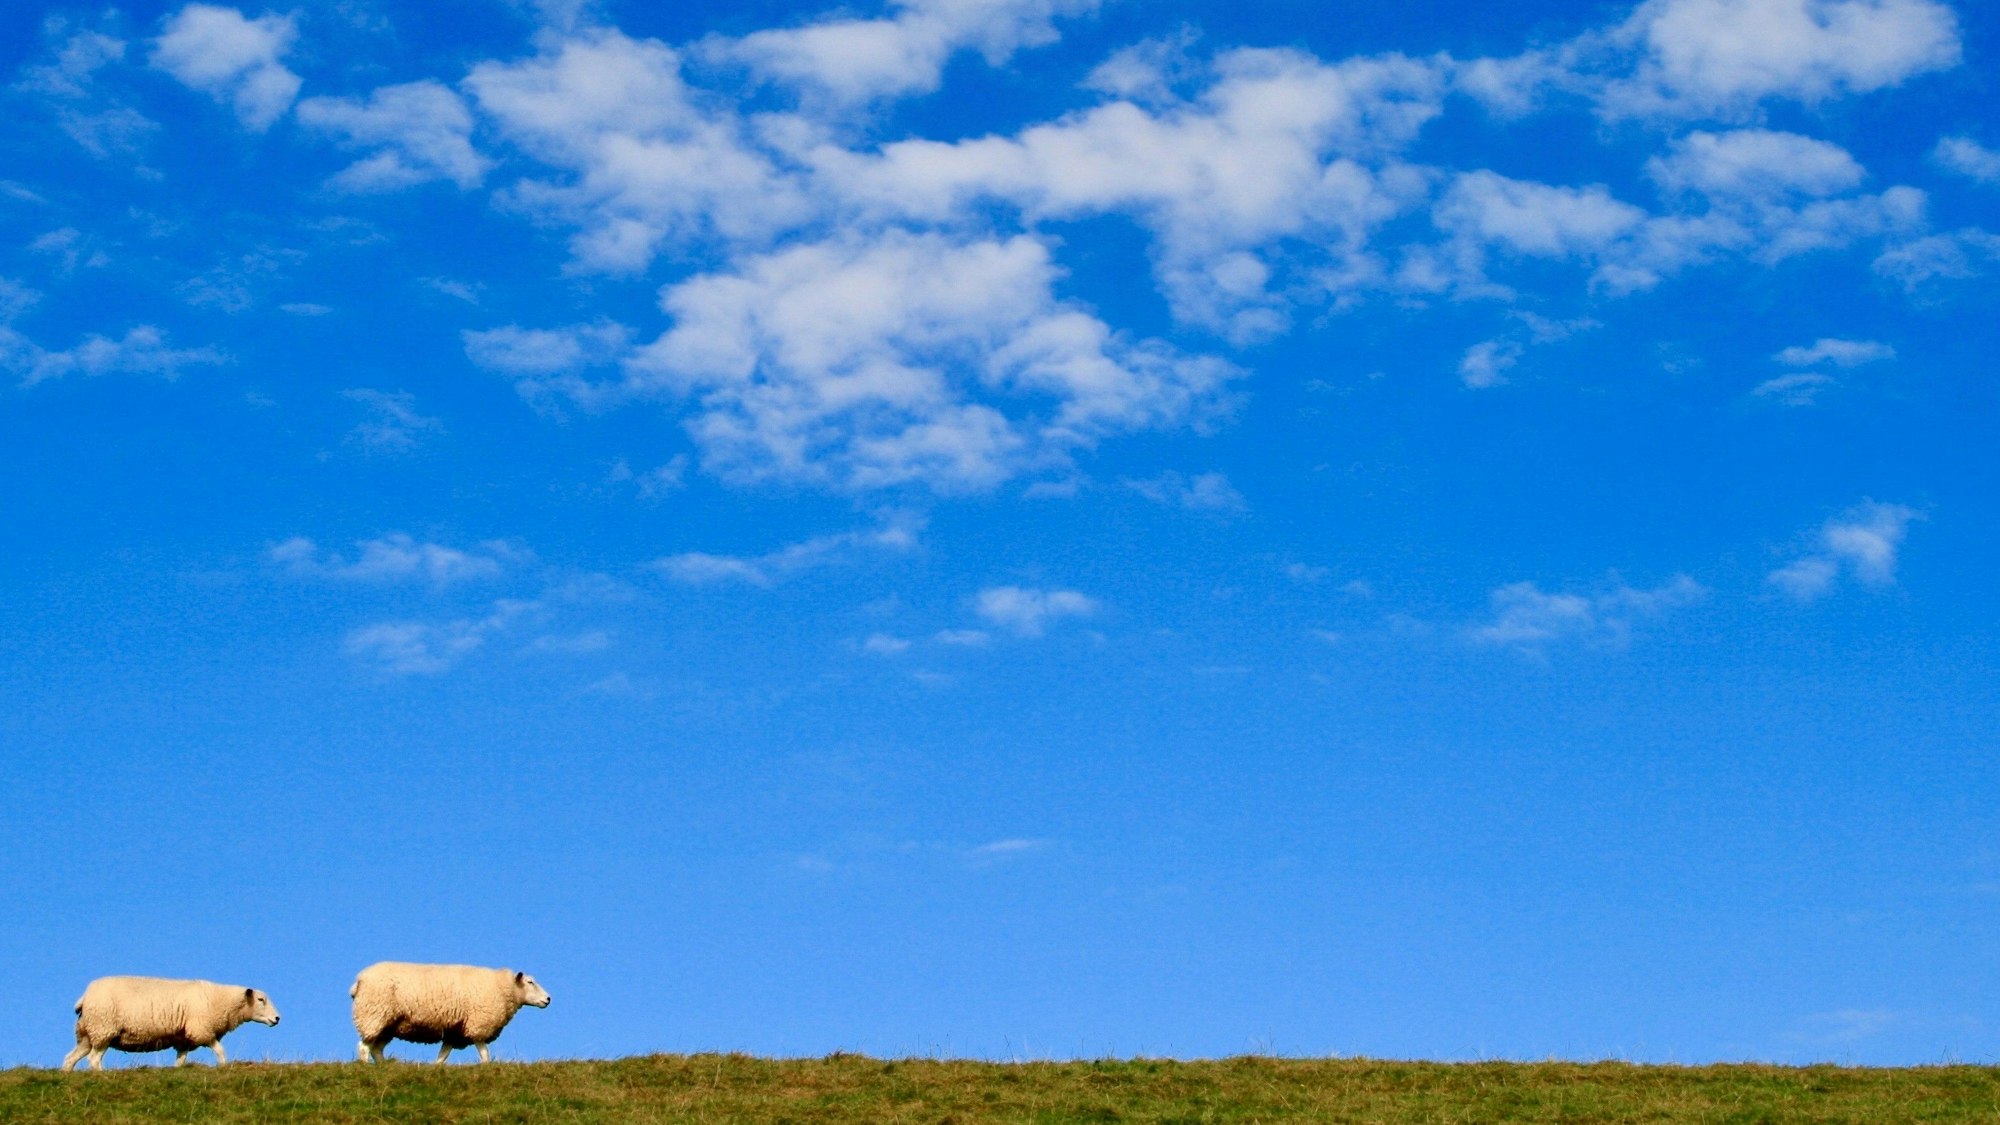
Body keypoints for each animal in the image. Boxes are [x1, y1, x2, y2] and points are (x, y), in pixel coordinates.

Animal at [60, 976, 280, 1071]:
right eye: (261, 1000)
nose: (277, 1019)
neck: (220, 1000)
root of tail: (85, 997)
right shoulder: (202, 1030)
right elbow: (220, 1050)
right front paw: (224, 1066)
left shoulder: (185, 1039)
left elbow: (180, 1061)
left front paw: (177, 1072)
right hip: (103, 1029)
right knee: (93, 1059)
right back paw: (101, 1074)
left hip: (87, 1035)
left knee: (70, 1058)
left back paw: (67, 1075)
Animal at [350, 961, 550, 1064]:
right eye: (530, 982)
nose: (548, 999)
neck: (502, 987)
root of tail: (359, 980)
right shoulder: (478, 1024)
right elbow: (484, 1053)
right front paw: (487, 1068)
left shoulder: (455, 1031)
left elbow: (443, 1055)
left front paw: (436, 1069)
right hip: (373, 1015)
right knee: (363, 1047)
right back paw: (365, 1067)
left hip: (388, 1024)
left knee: (376, 1049)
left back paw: (384, 1068)